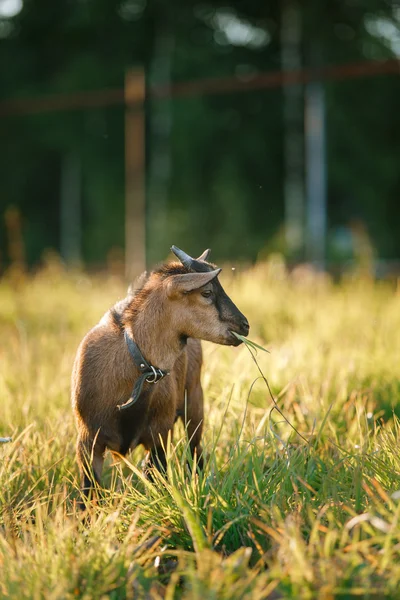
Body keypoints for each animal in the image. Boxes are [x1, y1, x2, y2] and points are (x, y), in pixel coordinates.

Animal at [70, 245, 248, 502]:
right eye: (206, 292)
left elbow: (157, 479)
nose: (245, 325)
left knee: (195, 450)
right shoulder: (87, 441)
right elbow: (89, 494)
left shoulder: (159, 434)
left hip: (194, 399)